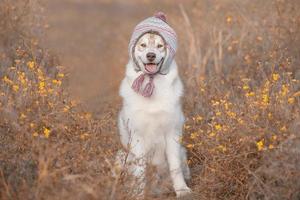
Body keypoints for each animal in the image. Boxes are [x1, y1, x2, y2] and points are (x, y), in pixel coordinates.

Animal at [116, 12, 191, 198]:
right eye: (142, 45)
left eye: (160, 46)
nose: (151, 55)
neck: (153, 85)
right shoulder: (137, 137)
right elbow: (139, 171)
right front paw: (137, 194)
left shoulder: (172, 134)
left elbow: (175, 167)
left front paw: (182, 190)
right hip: (121, 155)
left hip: (182, 150)